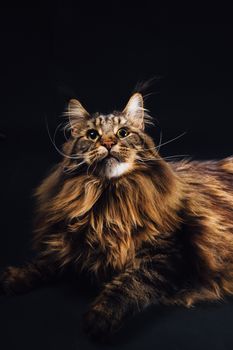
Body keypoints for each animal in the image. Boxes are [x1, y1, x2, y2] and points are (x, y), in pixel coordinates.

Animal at [1, 93, 233, 342]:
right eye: (92, 135)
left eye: (123, 133)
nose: (108, 143)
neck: (108, 204)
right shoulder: (72, 242)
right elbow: (45, 261)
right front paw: (15, 277)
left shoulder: (167, 254)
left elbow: (129, 283)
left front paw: (100, 317)